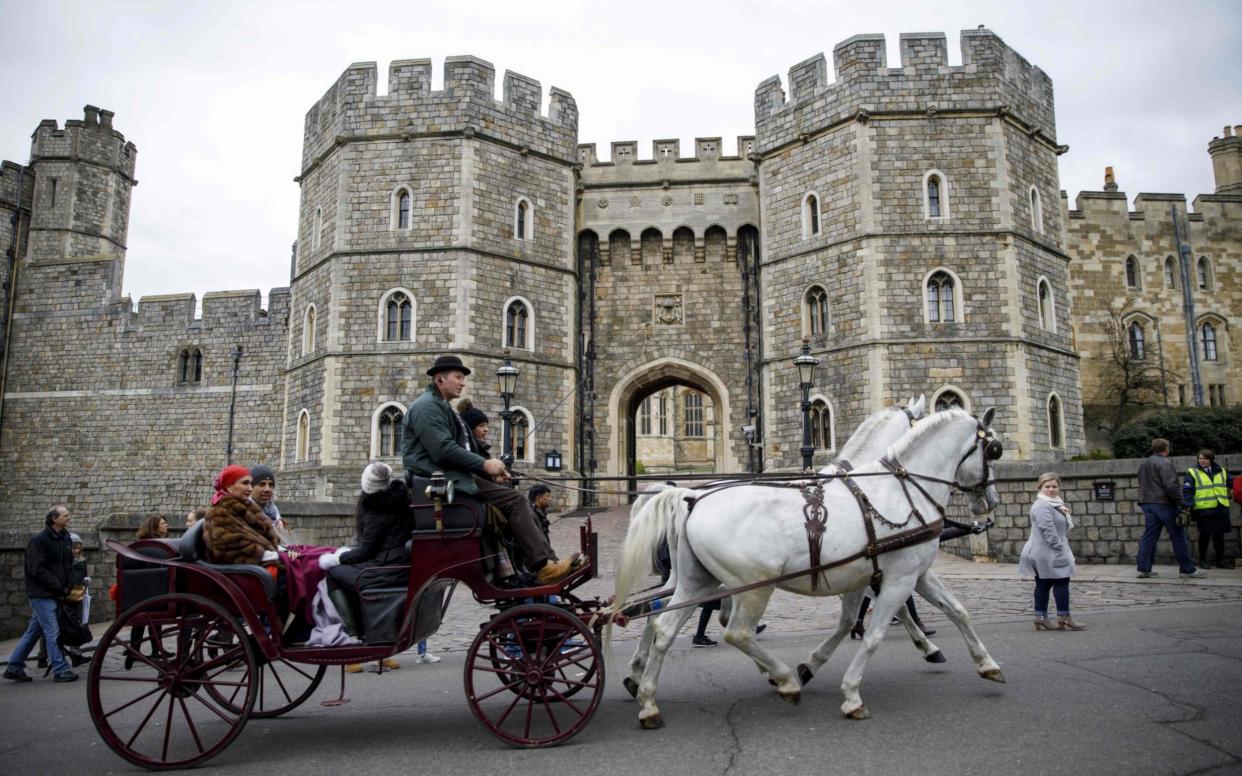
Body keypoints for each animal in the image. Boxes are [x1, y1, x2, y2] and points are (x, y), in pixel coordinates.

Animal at [616, 404, 1003, 725]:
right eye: (994, 450)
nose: (992, 500)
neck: (898, 491)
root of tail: (692, 497)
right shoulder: (898, 577)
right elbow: (875, 633)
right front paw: (851, 693)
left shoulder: (893, 573)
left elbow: (954, 610)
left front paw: (986, 663)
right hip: (753, 587)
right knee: (735, 631)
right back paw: (784, 680)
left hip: (698, 580)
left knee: (662, 624)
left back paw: (648, 698)